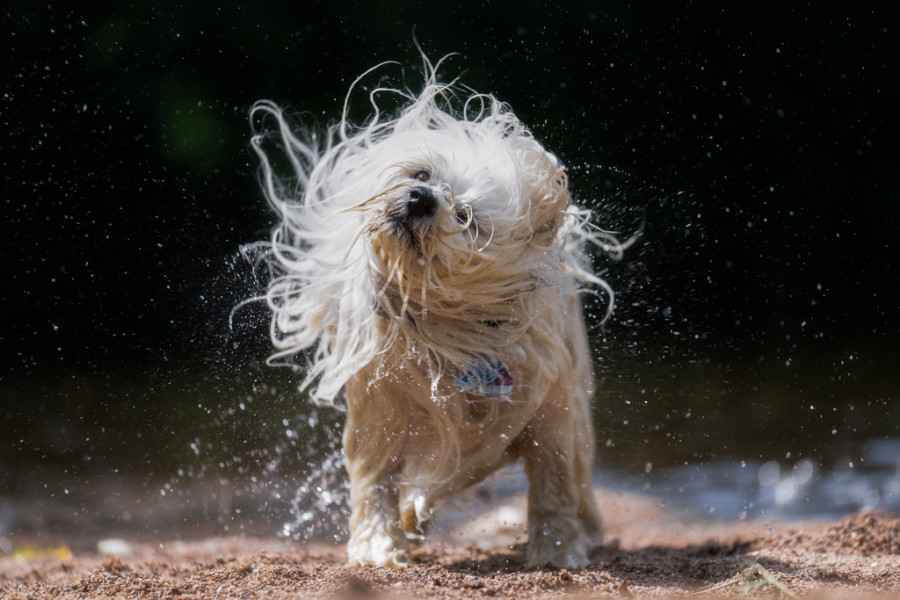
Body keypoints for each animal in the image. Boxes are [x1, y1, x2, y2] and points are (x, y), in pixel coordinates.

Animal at [246, 55, 624, 568]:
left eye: (467, 218)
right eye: (423, 175)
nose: (421, 199)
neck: (445, 330)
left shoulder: (550, 407)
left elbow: (553, 480)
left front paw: (557, 548)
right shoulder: (380, 409)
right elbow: (376, 480)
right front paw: (379, 545)